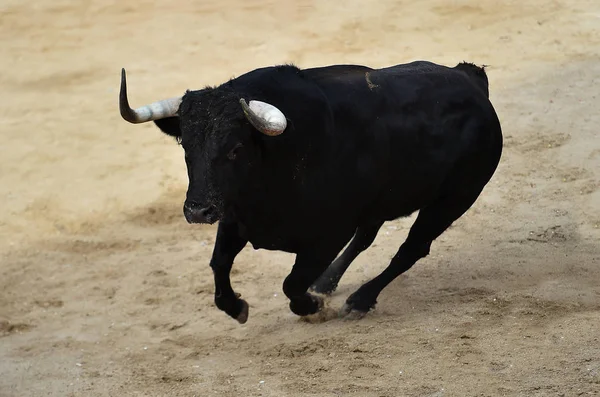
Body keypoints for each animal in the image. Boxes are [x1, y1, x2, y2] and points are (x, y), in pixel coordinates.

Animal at [117, 61, 502, 322]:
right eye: (186, 146)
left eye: (236, 148)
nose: (198, 211)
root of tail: (469, 79)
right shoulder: (235, 218)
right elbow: (219, 264)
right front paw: (238, 306)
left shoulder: (329, 234)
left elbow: (291, 283)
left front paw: (312, 306)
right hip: (381, 203)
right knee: (367, 237)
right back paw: (326, 283)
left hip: (454, 199)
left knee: (411, 249)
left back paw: (358, 301)